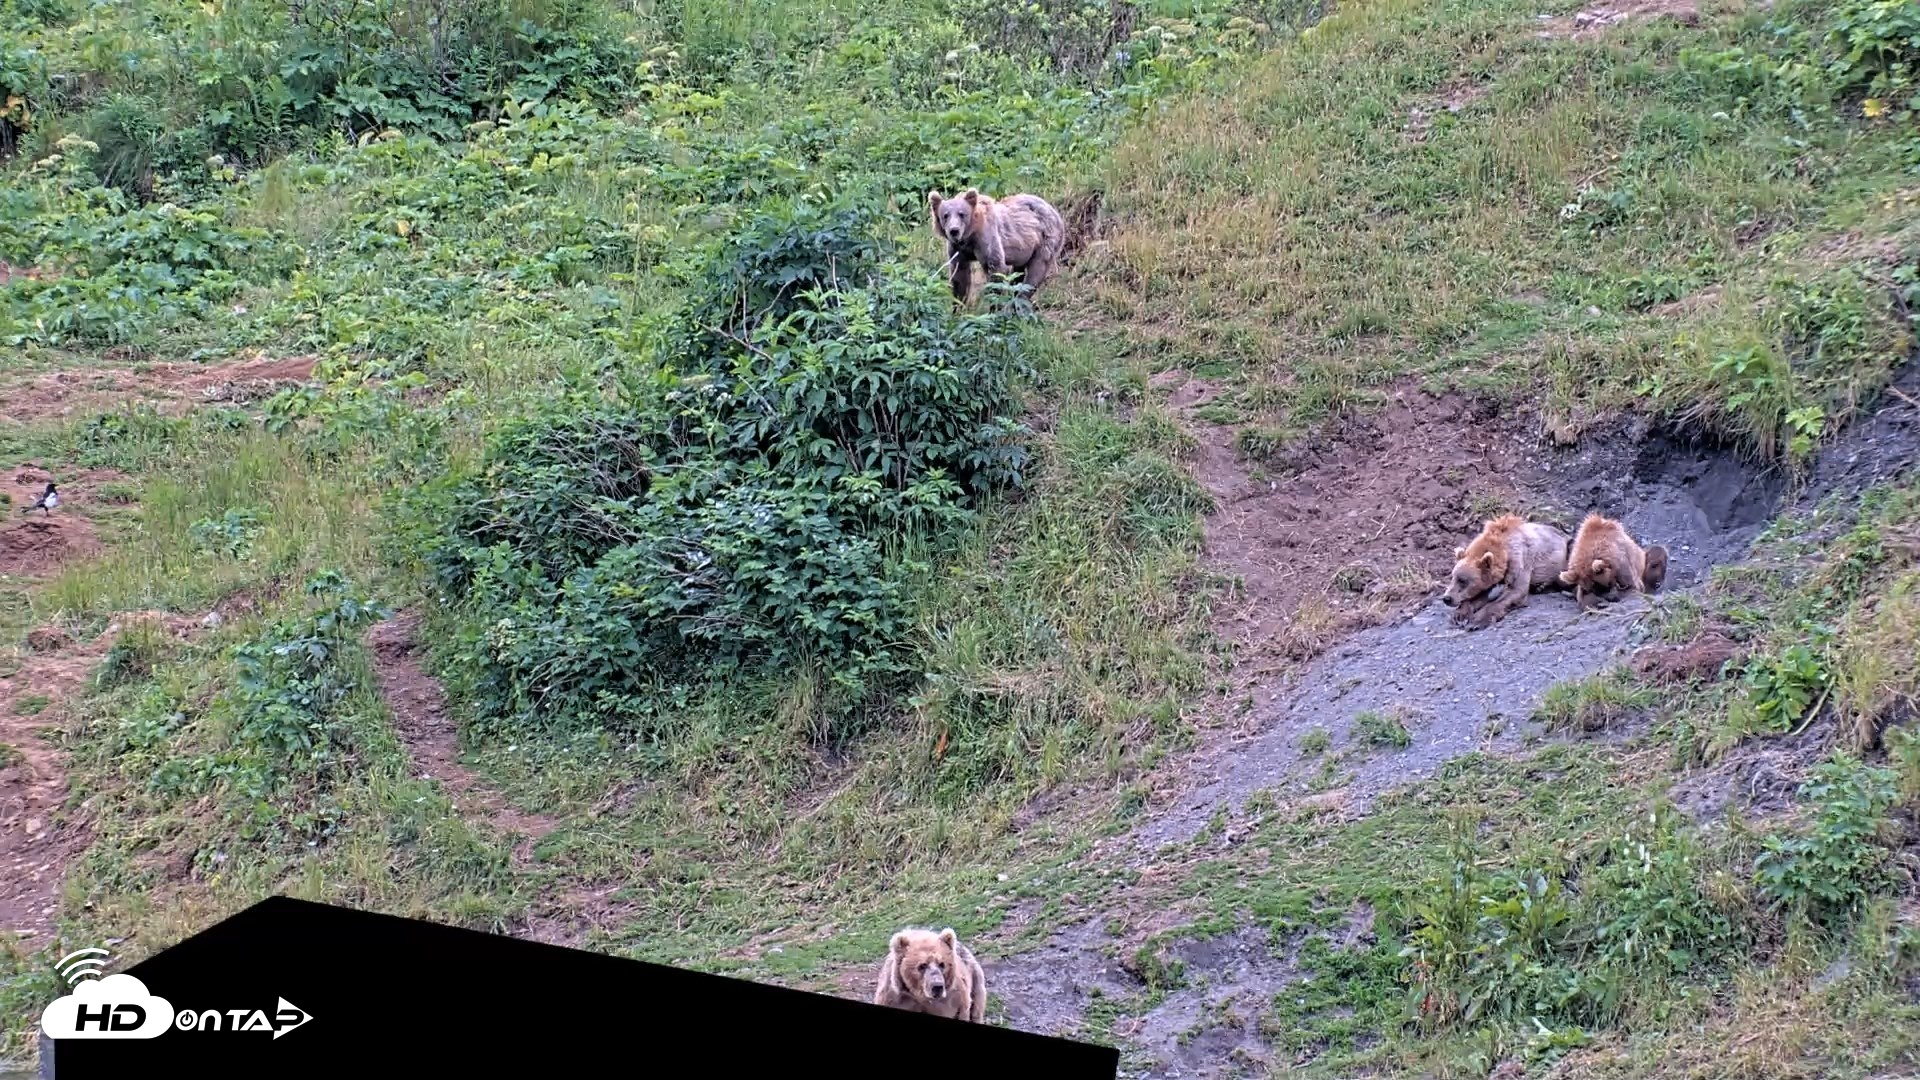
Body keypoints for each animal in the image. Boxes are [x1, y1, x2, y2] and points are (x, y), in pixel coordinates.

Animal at [927, 188, 1065, 305]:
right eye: (945, 215)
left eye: (962, 214)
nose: (954, 231)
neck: (969, 237)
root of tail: (1054, 211)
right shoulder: (958, 249)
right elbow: (960, 276)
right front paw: (958, 305)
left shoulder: (986, 240)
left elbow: (995, 269)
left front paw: (994, 306)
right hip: (1025, 250)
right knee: (1018, 272)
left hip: (1046, 240)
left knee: (1035, 272)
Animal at [1439, 514, 1574, 630]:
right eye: (1452, 577)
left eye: (1463, 580)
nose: (1446, 598)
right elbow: (1479, 596)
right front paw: (1459, 616)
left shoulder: (1520, 559)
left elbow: (1514, 591)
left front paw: (1477, 621)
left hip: (1568, 550)